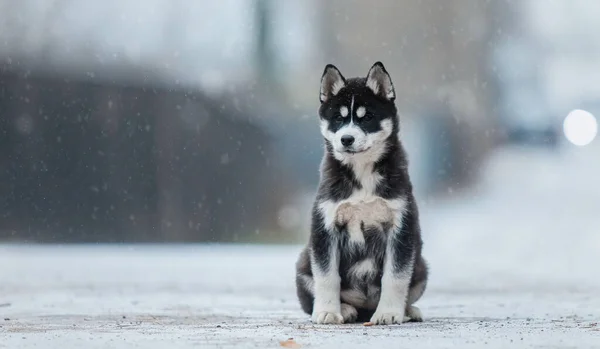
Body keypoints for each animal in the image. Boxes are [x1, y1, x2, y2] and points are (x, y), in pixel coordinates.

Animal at [296, 61, 426, 324]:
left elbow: (395, 277)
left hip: (421, 268)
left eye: (368, 118)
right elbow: (327, 276)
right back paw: (345, 309)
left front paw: (389, 313)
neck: (362, 172)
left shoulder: (401, 227)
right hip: (303, 264)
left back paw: (408, 311)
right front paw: (327, 311)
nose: (347, 139)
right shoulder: (325, 226)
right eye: (338, 118)